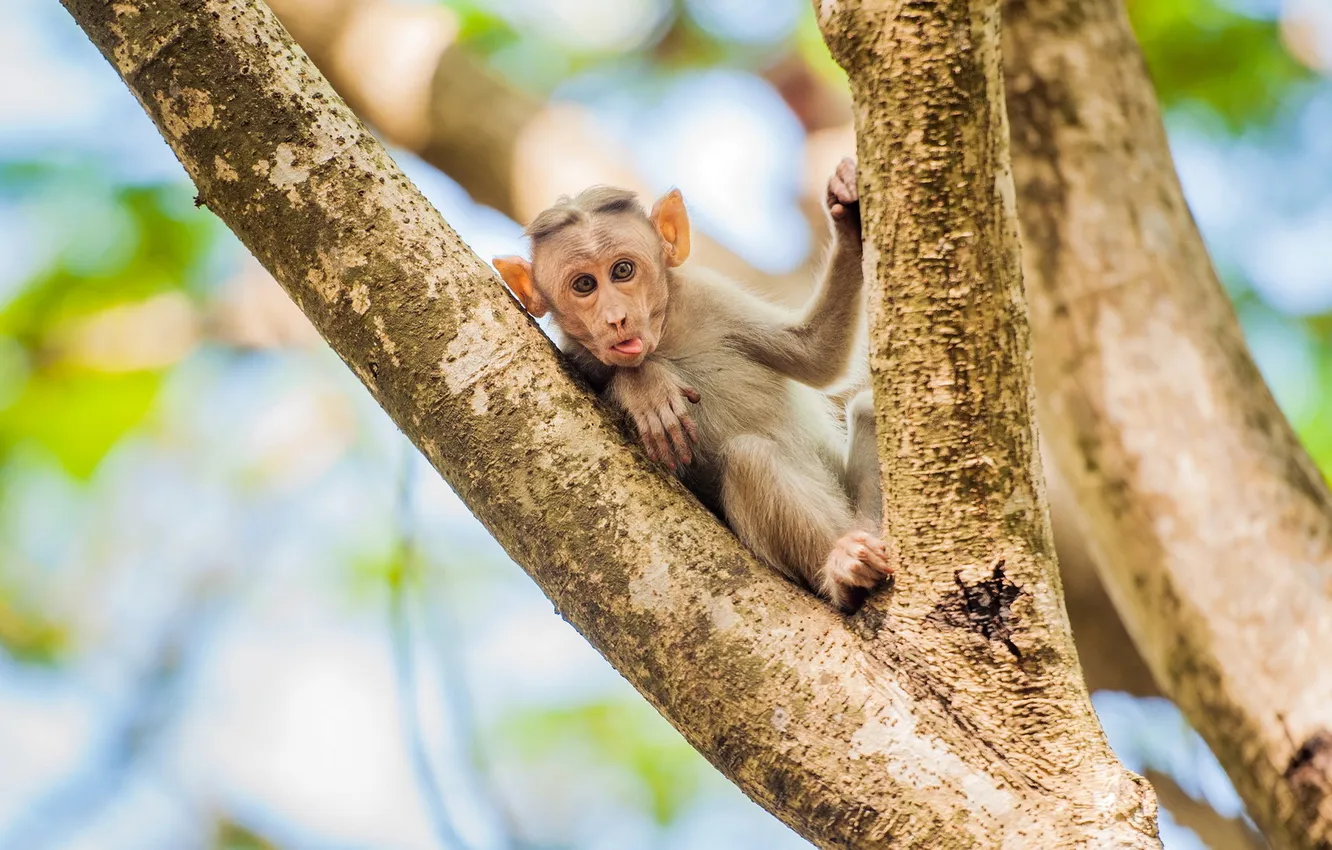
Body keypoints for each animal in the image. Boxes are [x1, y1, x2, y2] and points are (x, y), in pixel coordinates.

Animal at [492, 158, 895, 612]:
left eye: (622, 270)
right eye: (584, 285)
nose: (616, 318)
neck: (664, 336)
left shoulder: (711, 298)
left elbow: (818, 355)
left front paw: (848, 212)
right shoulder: (576, 354)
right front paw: (645, 385)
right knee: (750, 458)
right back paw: (844, 572)